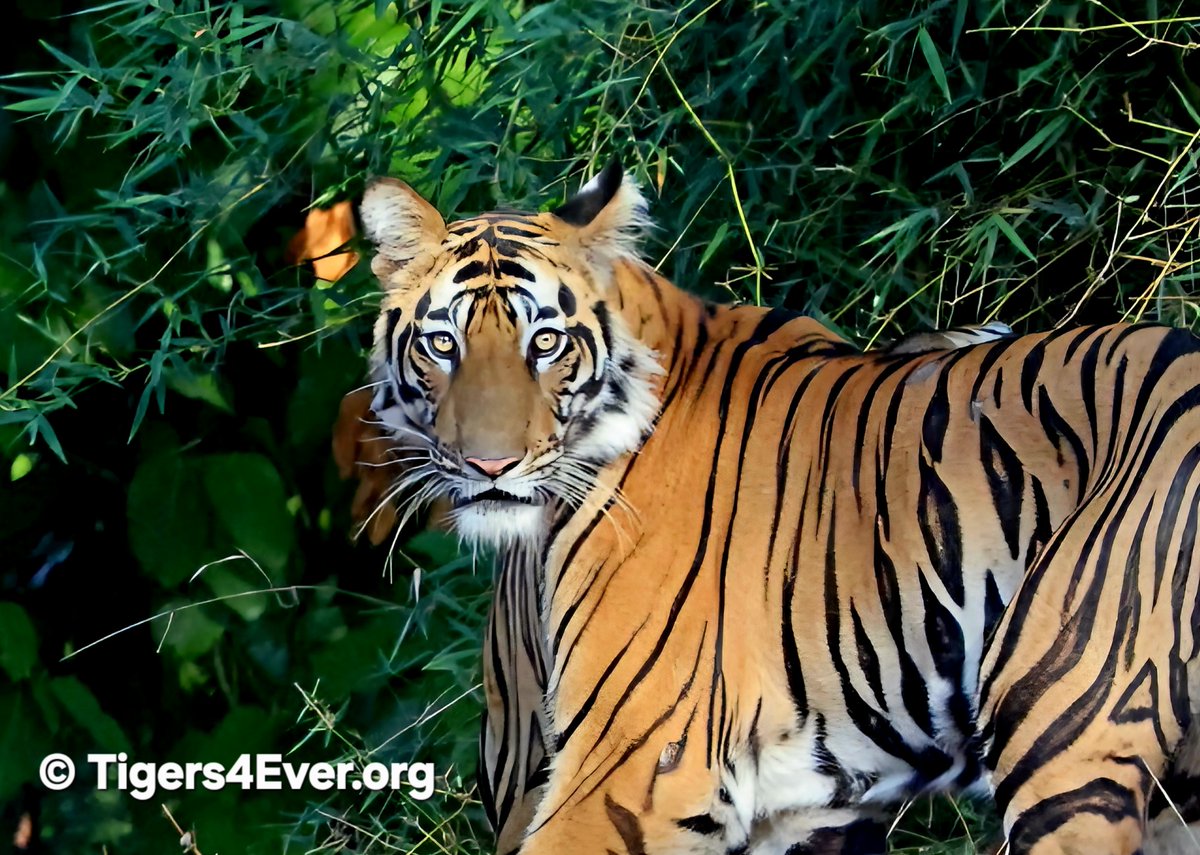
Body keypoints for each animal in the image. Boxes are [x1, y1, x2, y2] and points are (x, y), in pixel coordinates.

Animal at [350, 160, 1200, 855]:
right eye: (443, 343)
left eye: (547, 342)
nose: (489, 464)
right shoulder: (806, 811)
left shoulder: (631, 771)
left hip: (1065, 733)